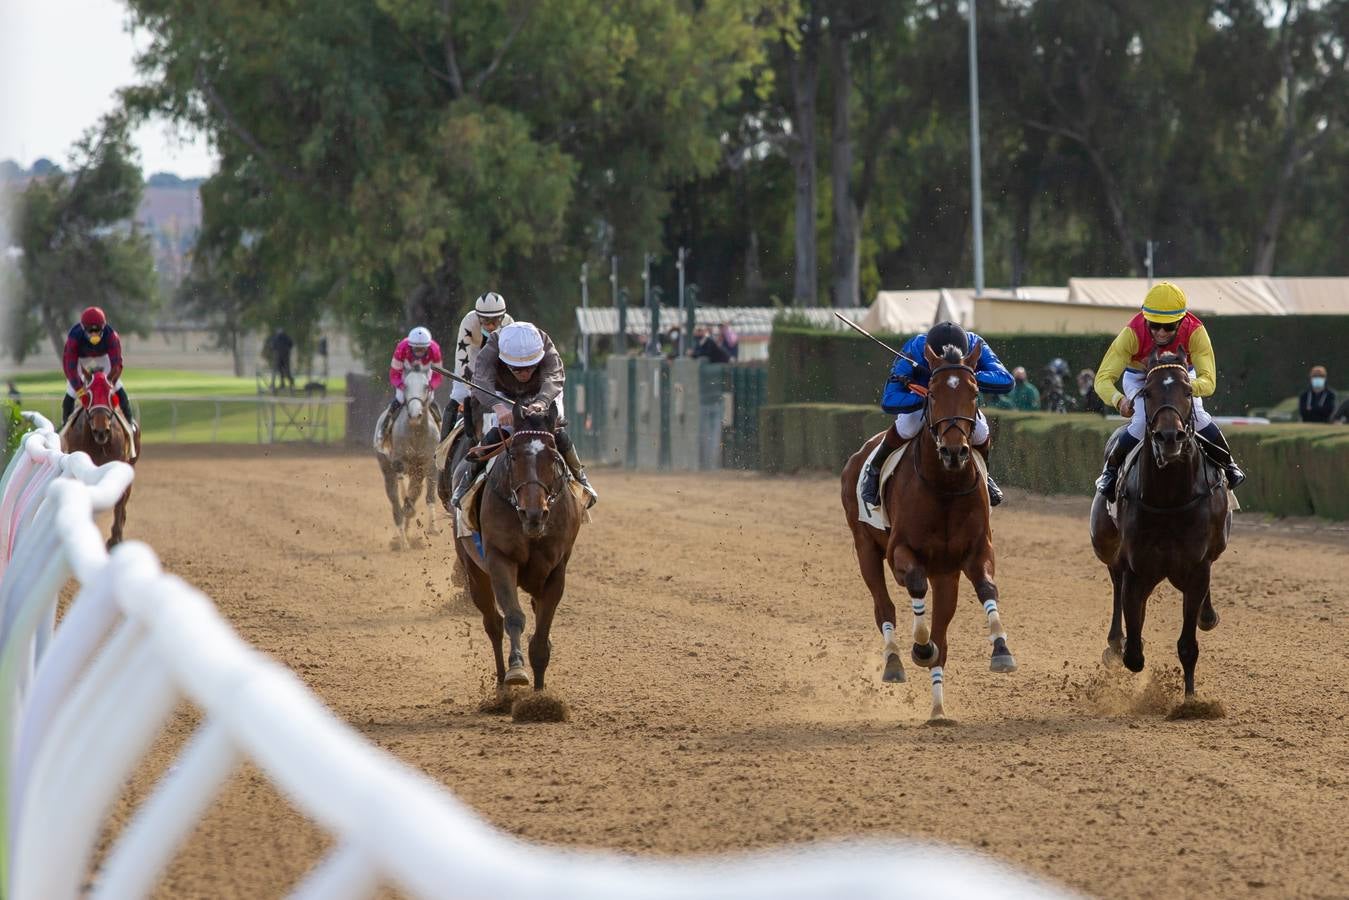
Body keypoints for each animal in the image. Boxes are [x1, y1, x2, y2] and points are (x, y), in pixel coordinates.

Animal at [61, 367, 140, 550]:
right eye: (88, 395)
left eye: (111, 395)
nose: (101, 431)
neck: (99, 445)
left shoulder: (120, 467)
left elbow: (119, 502)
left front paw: (115, 539)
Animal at [372, 364, 439, 550]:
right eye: (405, 385)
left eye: (426, 386)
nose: (415, 415)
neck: (417, 432)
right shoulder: (398, 462)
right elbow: (403, 490)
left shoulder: (429, 463)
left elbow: (428, 494)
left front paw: (433, 527)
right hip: (386, 470)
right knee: (395, 501)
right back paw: (402, 540)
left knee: (413, 493)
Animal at [453, 404, 580, 696]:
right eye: (513, 456)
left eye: (553, 456)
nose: (533, 513)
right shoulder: (500, 559)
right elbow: (513, 617)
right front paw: (517, 670)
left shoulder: (556, 570)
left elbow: (542, 633)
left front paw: (540, 695)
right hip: (474, 571)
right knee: (493, 624)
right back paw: (501, 684)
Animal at [836, 341, 1014, 723]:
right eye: (931, 393)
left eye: (974, 392)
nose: (953, 451)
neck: (945, 487)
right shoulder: (899, 552)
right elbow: (915, 587)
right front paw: (919, 647)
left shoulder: (974, 552)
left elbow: (986, 587)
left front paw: (1001, 649)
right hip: (865, 548)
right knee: (884, 608)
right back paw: (895, 662)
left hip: (946, 575)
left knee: (942, 637)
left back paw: (938, 710)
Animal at [1089, 348, 1230, 696]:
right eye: (1147, 393)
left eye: (1188, 392)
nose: (1169, 437)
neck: (1170, 499)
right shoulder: (1137, 567)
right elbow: (1134, 649)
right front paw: (1125, 648)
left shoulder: (1196, 568)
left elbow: (1188, 645)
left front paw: (1191, 698)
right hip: (1105, 542)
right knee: (1116, 582)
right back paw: (1114, 643)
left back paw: (1208, 615)